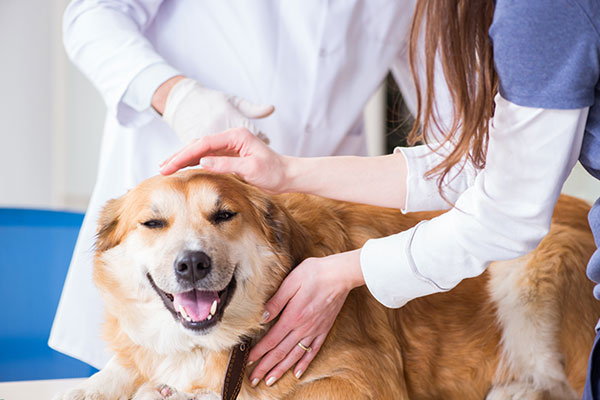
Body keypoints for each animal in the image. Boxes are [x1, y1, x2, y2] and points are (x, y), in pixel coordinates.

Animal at [55, 170, 600, 400]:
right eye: (153, 223)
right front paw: (93, 387)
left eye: (224, 215)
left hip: (531, 267)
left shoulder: (364, 385)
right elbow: (114, 373)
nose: (192, 264)